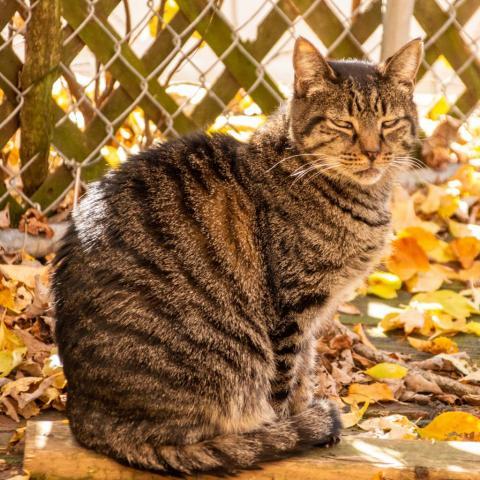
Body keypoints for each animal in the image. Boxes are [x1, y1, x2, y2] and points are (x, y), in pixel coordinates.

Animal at [50, 35, 422, 474]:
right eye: (343, 124)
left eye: (389, 123)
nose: (372, 151)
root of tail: (84, 415)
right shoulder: (292, 310)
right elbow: (285, 381)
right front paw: (291, 428)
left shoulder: (315, 317)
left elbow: (304, 371)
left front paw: (304, 414)